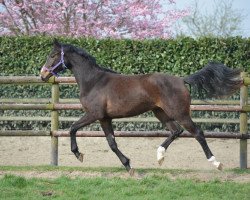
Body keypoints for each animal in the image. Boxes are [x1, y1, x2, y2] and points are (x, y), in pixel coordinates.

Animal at [40, 39, 242, 174]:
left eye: (53, 55)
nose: (42, 74)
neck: (94, 81)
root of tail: (181, 80)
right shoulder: (105, 118)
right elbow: (112, 143)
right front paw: (128, 165)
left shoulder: (94, 114)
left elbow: (73, 128)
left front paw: (78, 154)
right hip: (161, 113)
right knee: (175, 131)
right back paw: (160, 156)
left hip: (180, 113)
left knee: (198, 133)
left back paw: (216, 163)